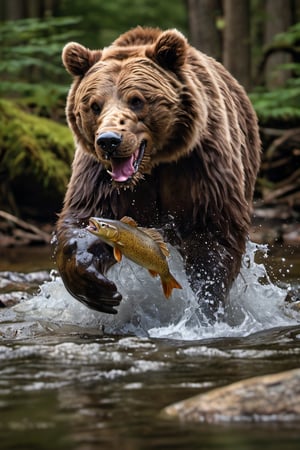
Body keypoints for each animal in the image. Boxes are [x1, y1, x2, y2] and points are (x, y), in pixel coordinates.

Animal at [55, 26, 262, 320]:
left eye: (137, 100)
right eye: (94, 105)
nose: (109, 141)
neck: (153, 166)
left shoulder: (200, 166)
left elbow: (213, 233)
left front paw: (208, 301)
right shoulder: (98, 175)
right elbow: (84, 218)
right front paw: (96, 288)